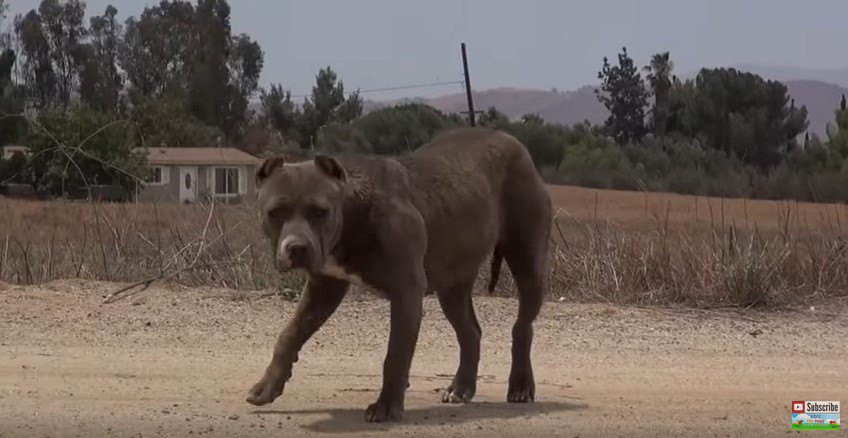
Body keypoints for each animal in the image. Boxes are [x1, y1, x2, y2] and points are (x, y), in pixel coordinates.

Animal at [247, 126, 548, 420]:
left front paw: (387, 406)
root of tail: (513, 141)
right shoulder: (324, 287)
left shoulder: (406, 291)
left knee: (522, 326)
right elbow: (290, 333)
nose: (297, 247)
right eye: (275, 212)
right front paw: (267, 387)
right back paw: (461, 388)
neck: (354, 212)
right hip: (452, 284)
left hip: (527, 264)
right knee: (470, 331)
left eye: (321, 211)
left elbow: (396, 354)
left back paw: (521, 386)